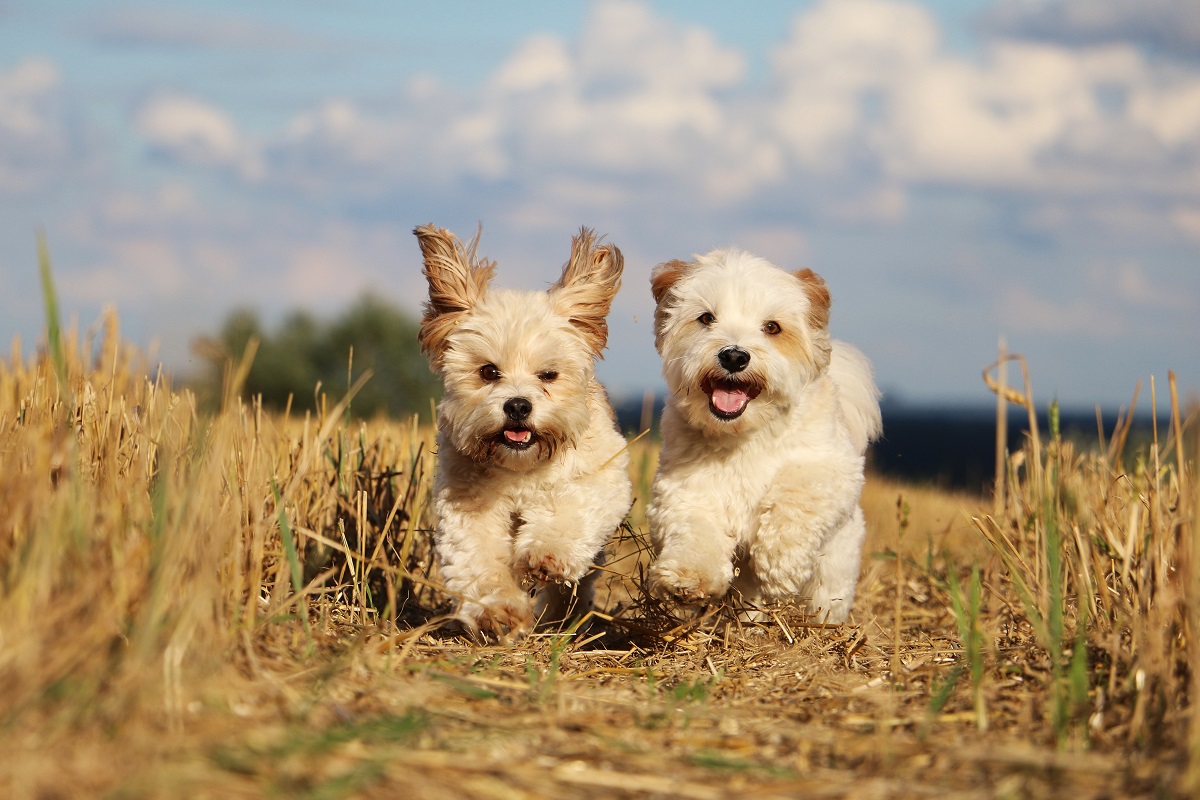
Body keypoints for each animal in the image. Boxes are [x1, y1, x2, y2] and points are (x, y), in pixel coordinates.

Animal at [415, 227, 633, 642]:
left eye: (548, 375)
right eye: (488, 371)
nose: (517, 406)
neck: (520, 469)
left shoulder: (600, 479)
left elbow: (569, 512)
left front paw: (545, 555)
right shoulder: (467, 506)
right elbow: (479, 559)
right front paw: (498, 613)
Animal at [648, 247, 883, 623]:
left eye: (772, 327)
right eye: (706, 318)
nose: (733, 355)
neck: (745, 435)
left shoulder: (832, 470)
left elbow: (797, 495)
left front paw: (780, 560)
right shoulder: (683, 490)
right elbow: (694, 528)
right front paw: (688, 577)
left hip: (833, 574)